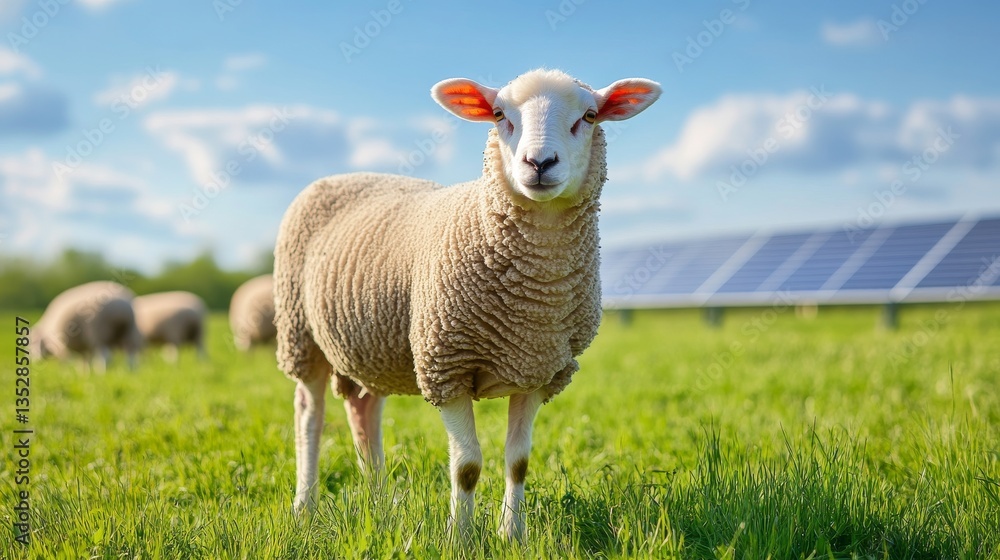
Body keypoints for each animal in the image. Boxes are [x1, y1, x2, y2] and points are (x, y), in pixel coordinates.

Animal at [274, 68, 661, 540]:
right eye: (498, 115)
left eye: (589, 116)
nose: (539, 163)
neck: (534, 301)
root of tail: (349, 174)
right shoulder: (446, 366)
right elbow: (468, 467)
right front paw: (459, 537)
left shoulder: (538, 370)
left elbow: (518, 462)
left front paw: (512, 535)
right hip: (300, 332)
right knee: (308, 416)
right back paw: (305, 505)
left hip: (374, 344)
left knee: (364, 409)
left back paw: (379, 502)